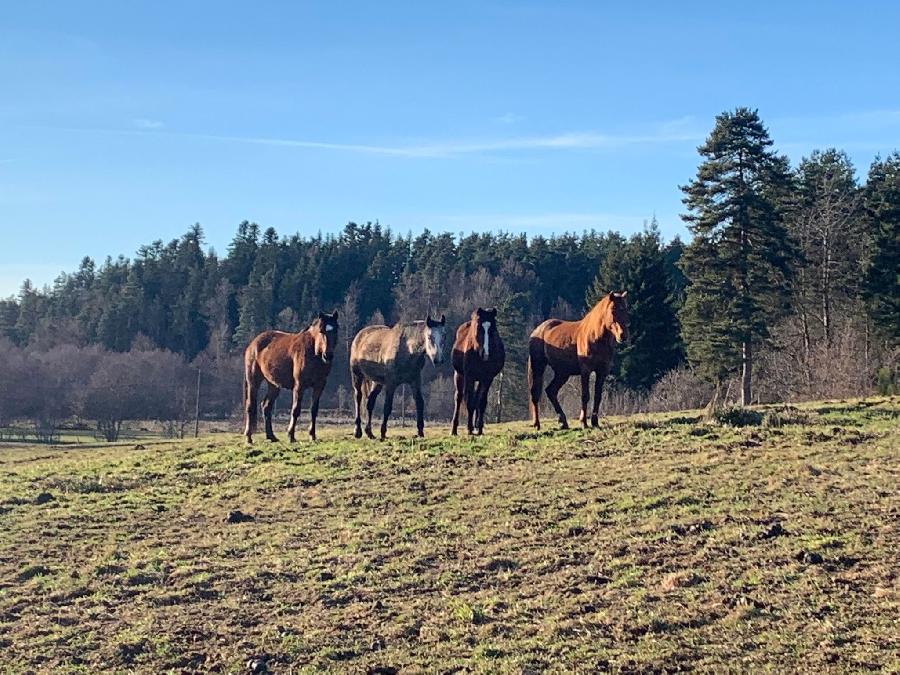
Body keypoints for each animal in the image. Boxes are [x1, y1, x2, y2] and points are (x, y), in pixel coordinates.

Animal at [243, 310, 338, 444]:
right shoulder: (299, 385)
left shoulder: (320, 385)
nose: (328, 355)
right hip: (253, 381)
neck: (312, 351)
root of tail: (253, 344)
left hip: (273, 385)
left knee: (266, 406)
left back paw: (271, 436)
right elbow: (296, 409)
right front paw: (291, 435)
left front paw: (312, 435)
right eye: (321, 331)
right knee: (250, 406)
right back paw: (249, 437)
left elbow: (314, 410)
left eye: (335, 331)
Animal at [450, 308, 506, 436]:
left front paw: (479, 428)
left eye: (493, 330)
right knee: (459, 398)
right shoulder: (469, 377)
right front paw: (469, 429)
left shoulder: (487, 378)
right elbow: (470, 402)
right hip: (459, 375)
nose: (485, 353)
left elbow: (481, 402)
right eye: (479, 328)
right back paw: (454, 429)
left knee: (476, 398)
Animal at [524, 292, 628, 430]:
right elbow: (585, 395)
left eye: (625, 310)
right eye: (613, 310)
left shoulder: (602, 371)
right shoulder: (585, 370)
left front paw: (595, 422)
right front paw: (583, 422)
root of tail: (537, 331)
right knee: (535, 393)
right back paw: (537, 424)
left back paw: (563, 421)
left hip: (562, 373)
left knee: (551, 391)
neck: (595, 336)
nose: (623, 335)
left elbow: (597, 396)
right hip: (538, 367)